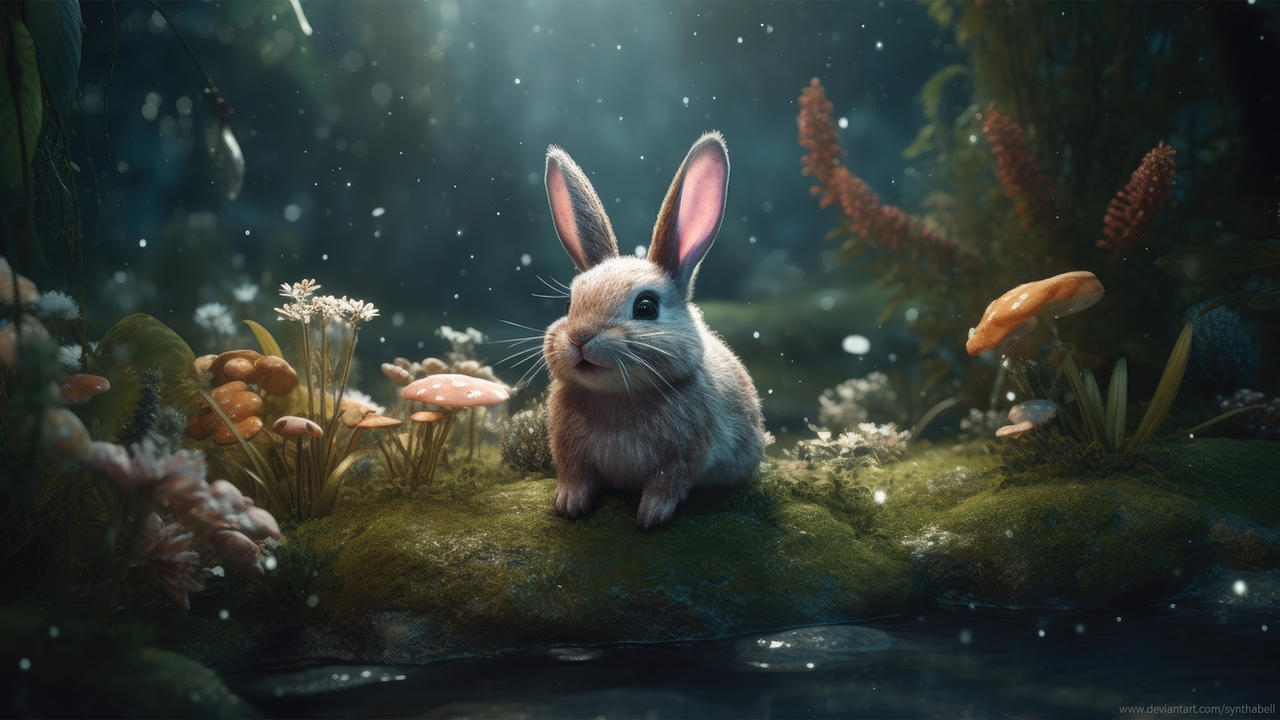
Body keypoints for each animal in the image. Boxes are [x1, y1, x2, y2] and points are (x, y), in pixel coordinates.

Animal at [541, 131, 767, 529]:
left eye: (646, 307)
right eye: (571, 302)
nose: (580, 338)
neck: (618, 397)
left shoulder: (683, 457)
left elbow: (666, 484)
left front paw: (650, 517)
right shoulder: (570, 454)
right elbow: (575, 477)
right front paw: (568, 504)